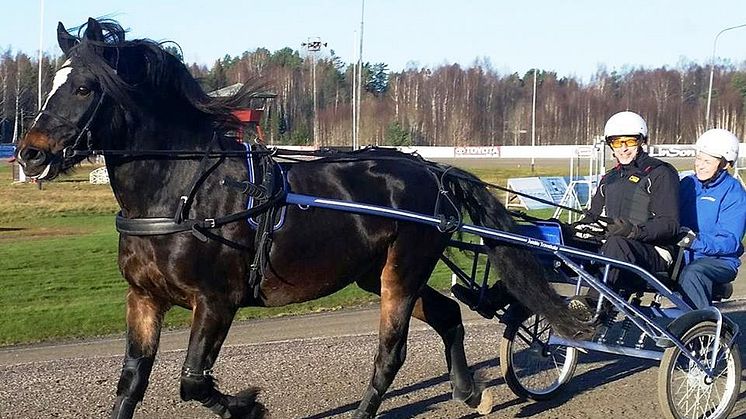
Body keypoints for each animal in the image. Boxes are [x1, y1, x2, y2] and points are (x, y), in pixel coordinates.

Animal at [17, 18, 584, 418]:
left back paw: (367, 410)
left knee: (391, 351)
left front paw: (248, 406)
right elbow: (132, 382)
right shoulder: (144, 297)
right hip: (373, 271)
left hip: (403, 268)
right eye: (52, 83)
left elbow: (193, 380)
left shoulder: (217, 299)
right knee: (446, 315)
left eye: (85, 87)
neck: (180, 193)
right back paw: (470, 393)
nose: (29, 153)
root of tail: (430, 168)